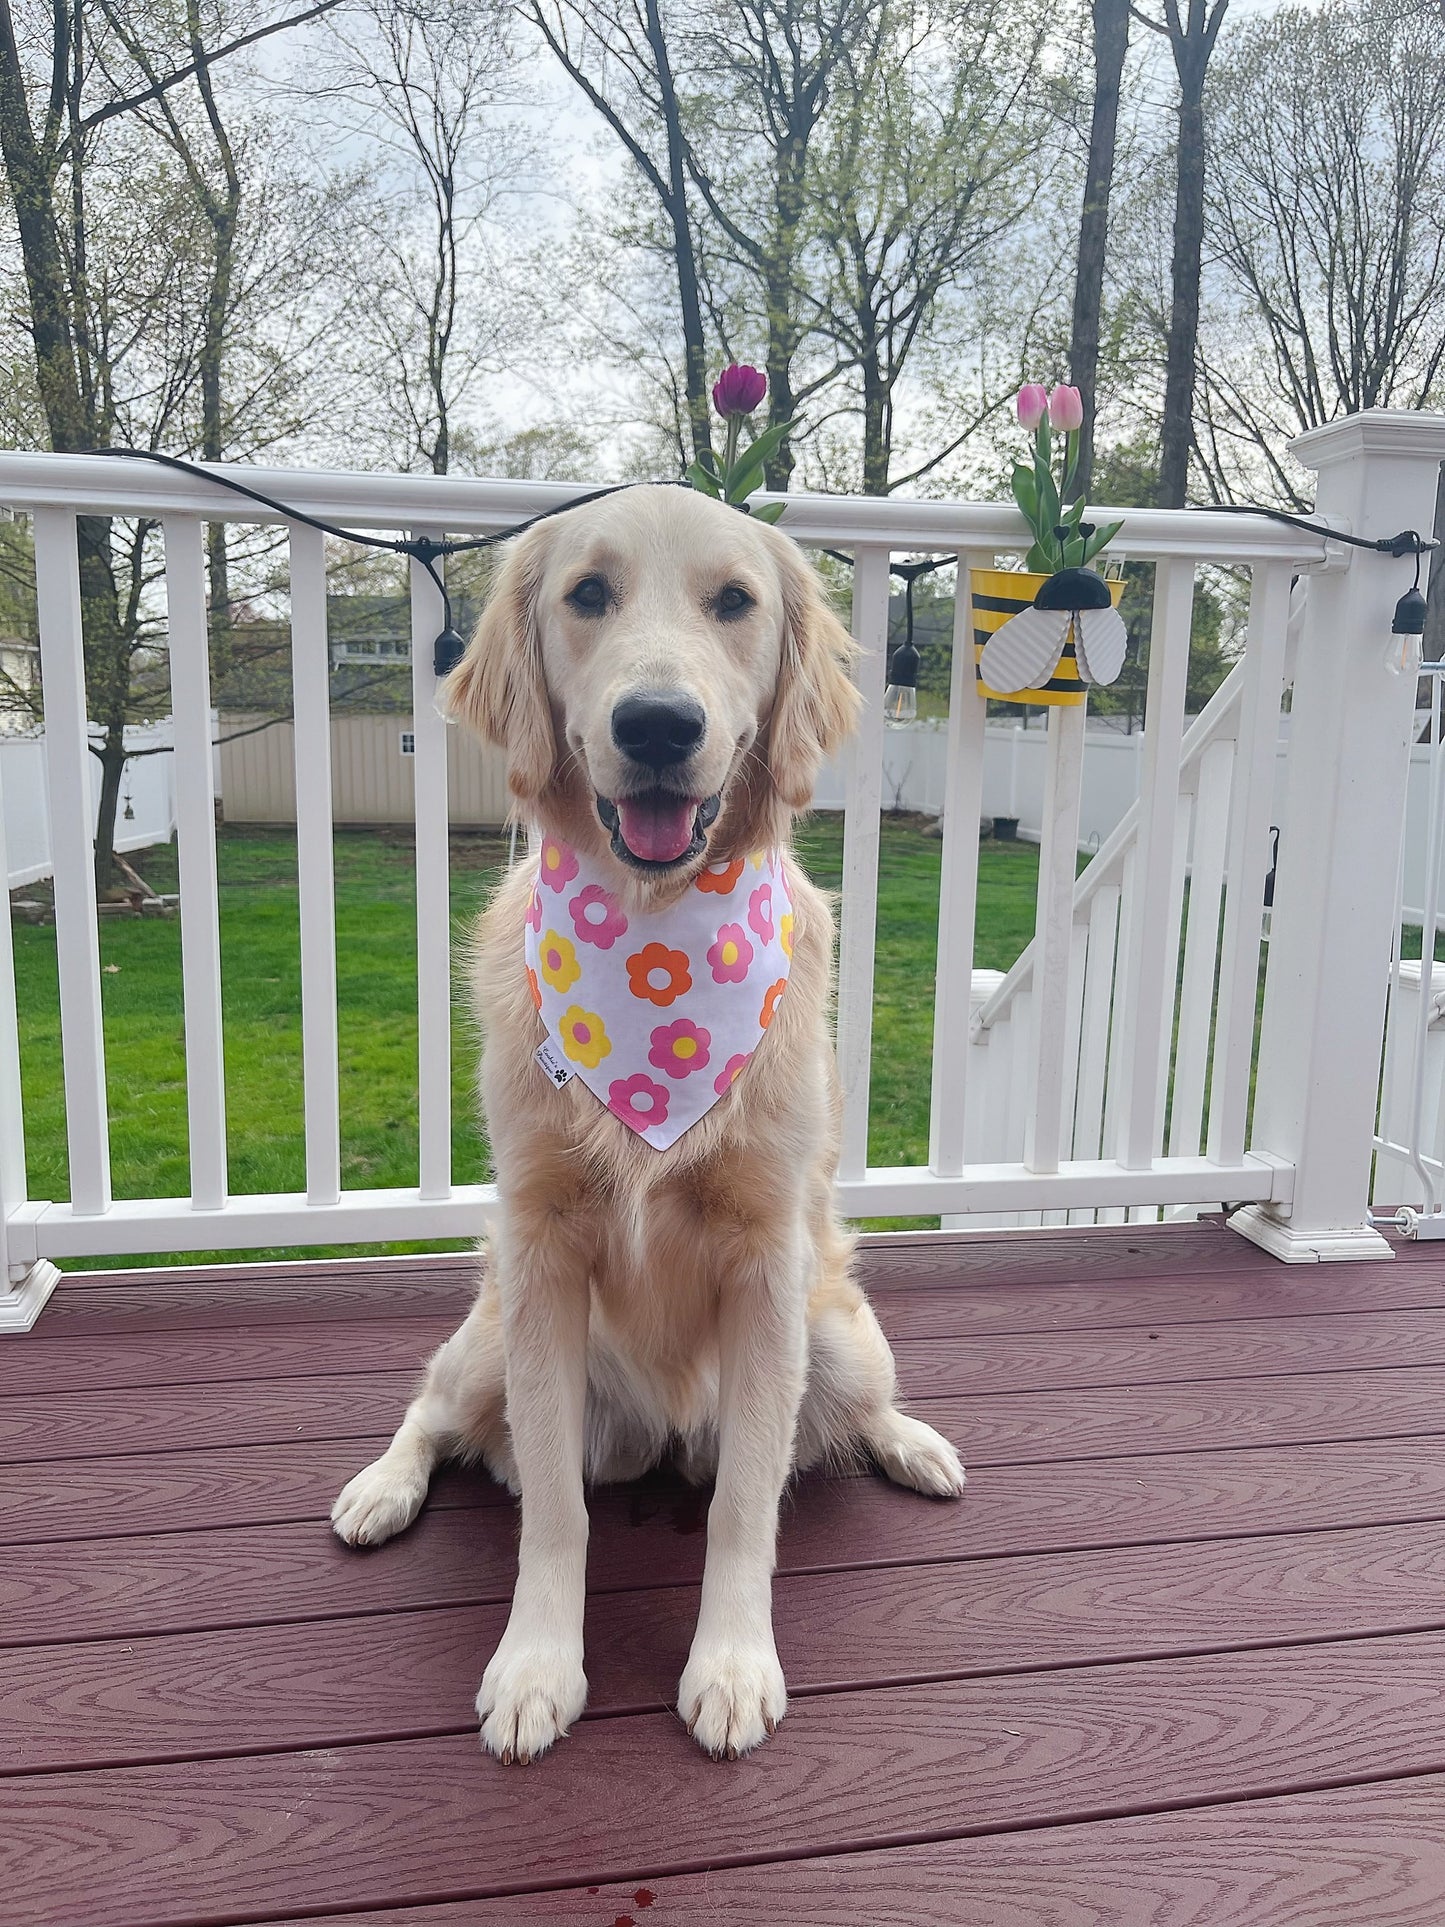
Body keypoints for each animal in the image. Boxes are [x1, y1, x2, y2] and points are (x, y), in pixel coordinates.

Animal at [333, 485, 967, 1765]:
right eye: (587, 593)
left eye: (734, 601)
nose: (661, 724)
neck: (656, 936)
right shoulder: (538, 1250)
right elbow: (556, 1510)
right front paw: (536, 1664)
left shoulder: (769, 1263)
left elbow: (744, 1503)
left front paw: (729, 1664)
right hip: (492, 1340)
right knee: (434, 1410)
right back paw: (381, 1488)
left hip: (839, 1335)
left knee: (843, 1416)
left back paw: (911, 1441)